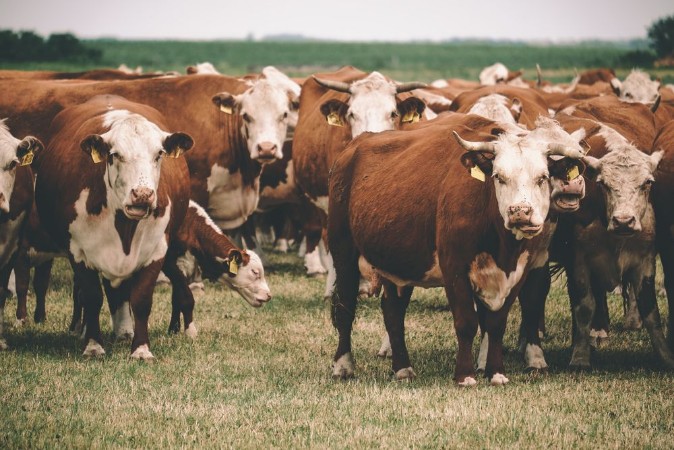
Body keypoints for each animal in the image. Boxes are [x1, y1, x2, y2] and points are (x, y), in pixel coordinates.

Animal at [34, 95, 194, 359]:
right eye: (116, 154)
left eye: (159, 154)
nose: (143, 194)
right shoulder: (78, 251)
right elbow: (91, 297)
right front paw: (93, 346)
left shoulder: (156, 250)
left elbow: (141, 300)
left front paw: (141, 349)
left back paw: (124, 331)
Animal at [327, 112, 587, 385]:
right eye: (498, 176)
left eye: (542, 177)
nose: (520, 212)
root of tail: (354, 147)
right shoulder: (454, 268)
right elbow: (466, 321)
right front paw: (465, 375)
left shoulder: (520, 270)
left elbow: (497, 323)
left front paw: (496, 372)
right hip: (343, 251)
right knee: (345, 307)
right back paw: (343, 365)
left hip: (396, 263)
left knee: (393, 313)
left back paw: (403, 367)